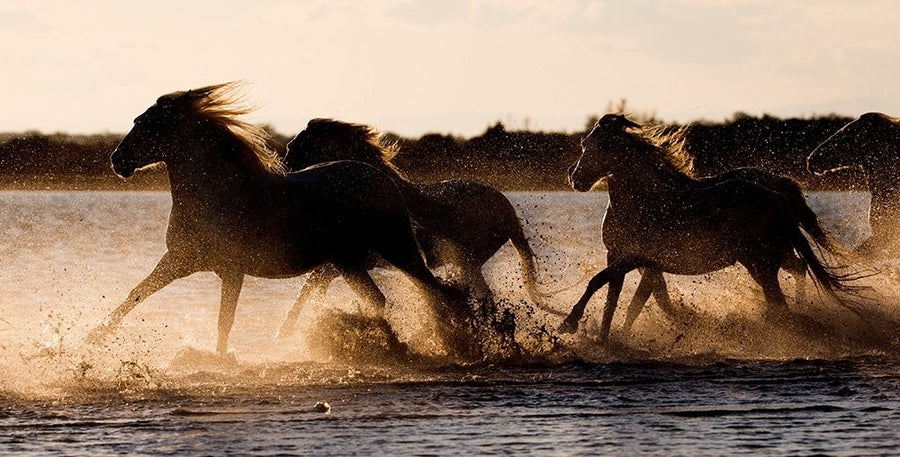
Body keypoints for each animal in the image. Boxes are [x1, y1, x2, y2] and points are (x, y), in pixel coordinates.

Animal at [87, 83, 468, 354]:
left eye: (147, 123)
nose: (117, 161)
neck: (217, 196)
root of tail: (377, 175)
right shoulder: (180, 260)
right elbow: (136, 295)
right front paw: (91, 338)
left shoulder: (232, 270)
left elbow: (225, 320)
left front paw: (222, 362)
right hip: (348, 263)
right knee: (380, 301)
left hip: (394, 248)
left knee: (438, 291)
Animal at [556, 114, 856, 342]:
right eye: (585, 143)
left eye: (598, 145)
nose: (574, 177)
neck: (643, 202)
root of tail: (779, 196)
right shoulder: (622, 257)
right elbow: (619, 300)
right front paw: (605, 339)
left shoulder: (635, 258)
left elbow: (601, 283)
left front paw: (569, 323)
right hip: (761, 260)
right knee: (794, 277)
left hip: (763, 262)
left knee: (784, 298)